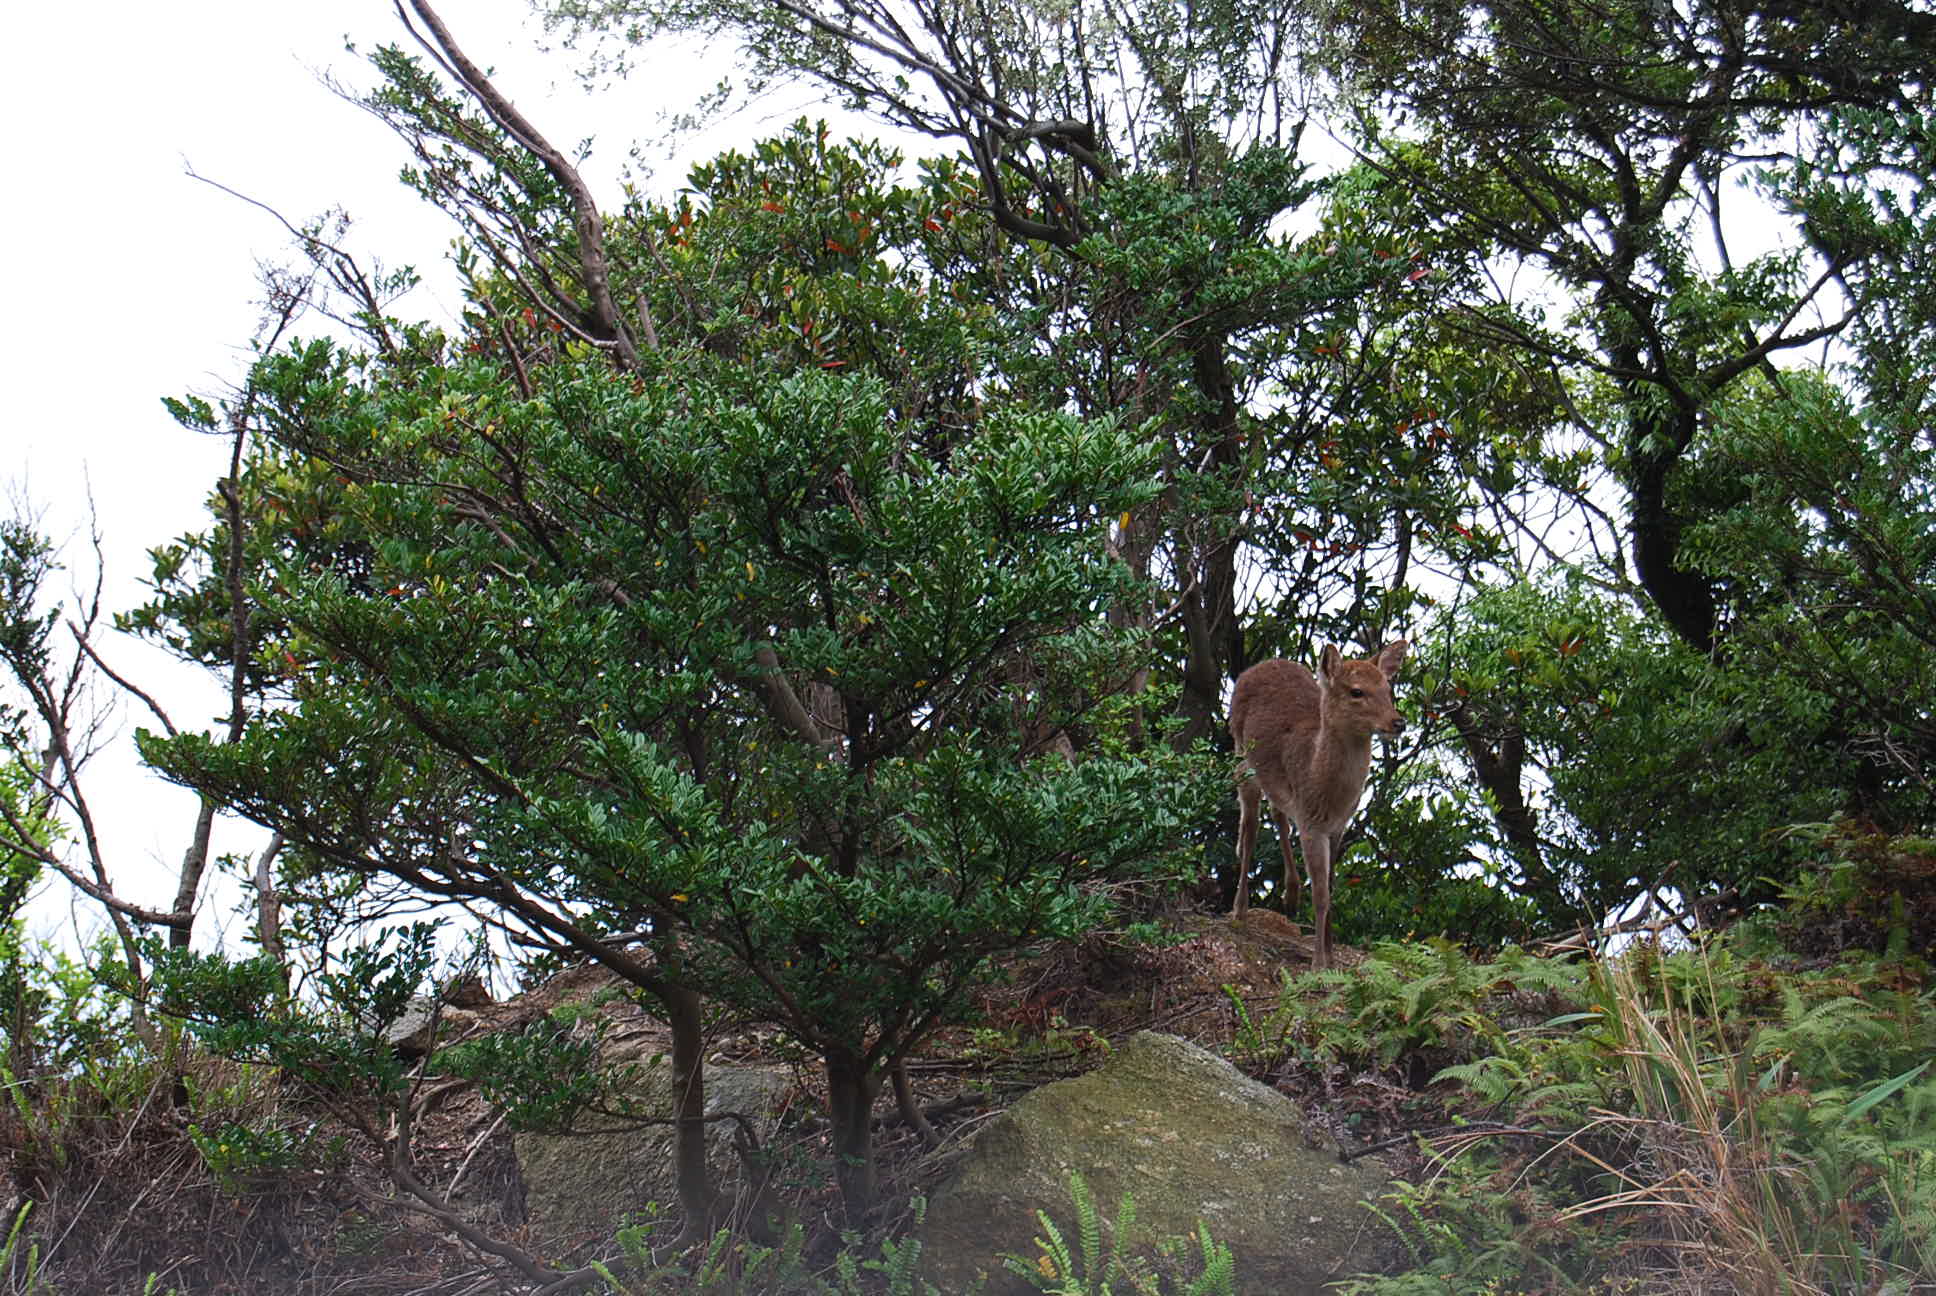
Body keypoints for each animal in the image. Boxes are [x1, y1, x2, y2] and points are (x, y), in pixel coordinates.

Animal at [1231, 643, 1417, 964]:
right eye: (1356, 691)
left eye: (1388, 689)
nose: (1398, 722)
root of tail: (1254, 668)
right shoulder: (1311, 823)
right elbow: (1320, 894)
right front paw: (1319, 963)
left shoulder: (1337, 826)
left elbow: (1331, 887)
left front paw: (1330, 954)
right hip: (1243, 755)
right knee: (1250, 824)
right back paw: (1239, 910)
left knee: (1277, 812)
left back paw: (1290, 895)